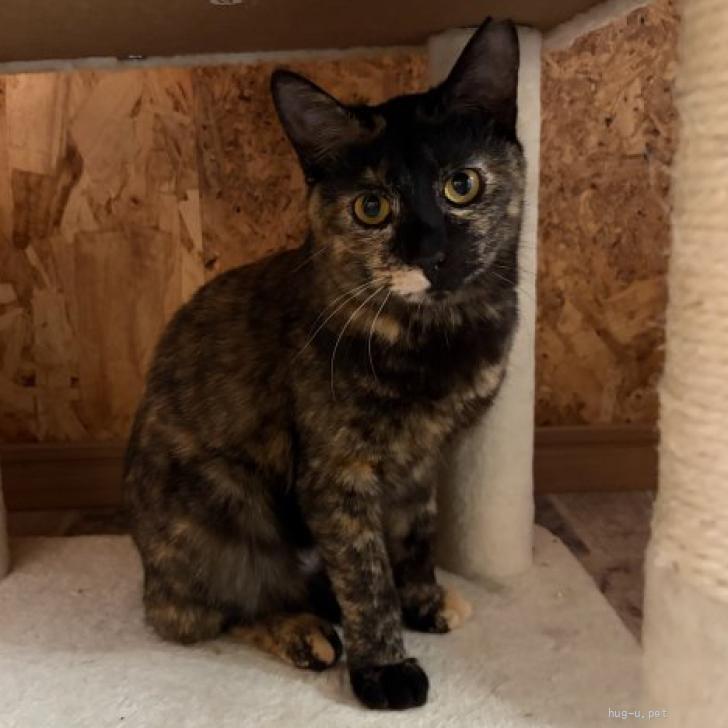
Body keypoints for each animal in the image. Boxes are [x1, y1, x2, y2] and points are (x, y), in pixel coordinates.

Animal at [124, 17, 524, 711]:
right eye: (372, 207)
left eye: (462, 185)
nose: (431, 253)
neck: (437, 338)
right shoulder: (337, 477)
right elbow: (366, 577)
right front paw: (385, 668)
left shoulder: (421, 464)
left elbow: (415, 537)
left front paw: (424, 601)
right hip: (226, 500)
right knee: (203, 612)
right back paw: (304, 631)